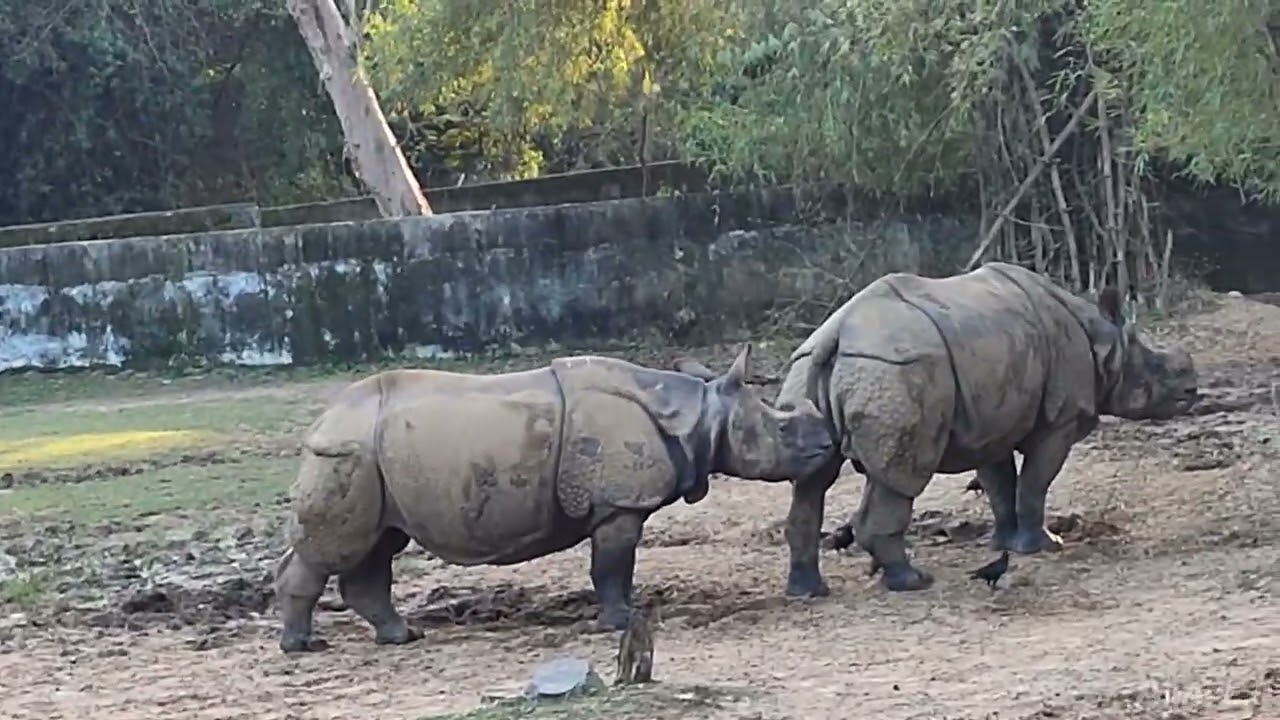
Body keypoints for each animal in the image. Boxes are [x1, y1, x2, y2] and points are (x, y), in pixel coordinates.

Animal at [272, 344, 834, 653]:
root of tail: (323, 420)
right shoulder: (618, 505)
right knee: (334, 551)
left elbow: (617, 567)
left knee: (379, 545)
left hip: (372, 459)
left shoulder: (618, 505)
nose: (829, 442)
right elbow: (611, 566)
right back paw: (304, 647)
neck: (701, 416)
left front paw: (627, 615)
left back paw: (401, 637)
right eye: (784, 430)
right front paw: (621, 621)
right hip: (348, 453)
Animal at [683, 262, 1199, 597]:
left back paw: (808, 592)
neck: (1102, 341)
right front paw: (1040, 546)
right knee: (901, 478)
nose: (1193, 387)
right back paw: (910, 582)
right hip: (898, 372)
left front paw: (1003, 543)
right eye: (1159, 369)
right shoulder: (1062, 416)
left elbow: (999, 482)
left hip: (809, 366)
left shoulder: (994, 411)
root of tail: (836, 335)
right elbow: (1034, 481)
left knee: (812, 478)